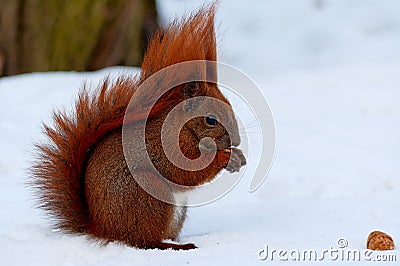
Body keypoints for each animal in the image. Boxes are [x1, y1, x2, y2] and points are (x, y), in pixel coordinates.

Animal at [31, 5, 245, 250]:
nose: (236, 141)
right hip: (149, 195)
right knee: (145, 241)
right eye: (211, 119)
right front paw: (225, 157)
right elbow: (185, 173)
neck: (183, 128)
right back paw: (176, 246)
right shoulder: (166, 147)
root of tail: (103, 228)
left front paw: (237, 155)